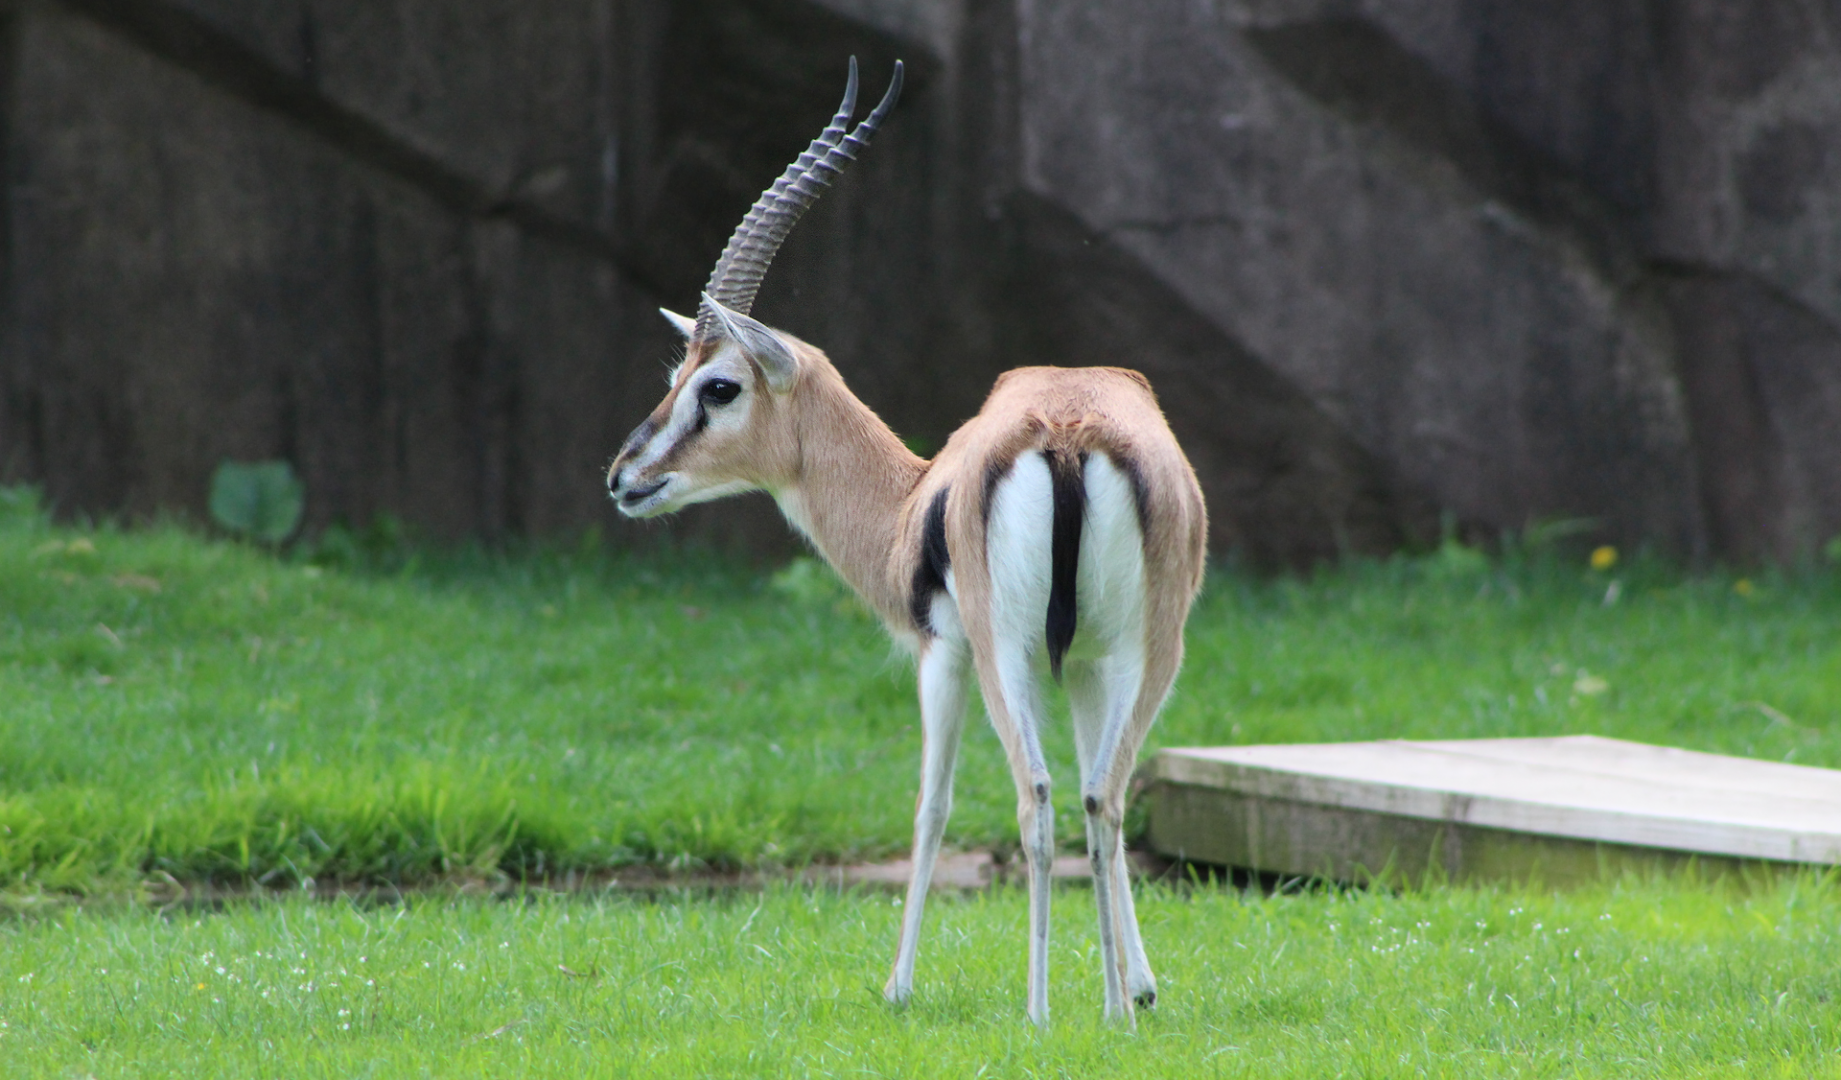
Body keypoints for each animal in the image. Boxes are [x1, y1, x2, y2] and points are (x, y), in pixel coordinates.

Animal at [605, 59, 1206, 1026]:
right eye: (677, 374)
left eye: (718, 386)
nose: (624, 478)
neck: (913, 498)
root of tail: (1068, 430)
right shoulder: (1080, 663)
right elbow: (1098, 797)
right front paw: (1135, 990)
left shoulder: (942, 652)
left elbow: (931, 802)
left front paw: (896, 985)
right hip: (1146, 651)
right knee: (1101, 792)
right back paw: (1107, 1009)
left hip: (1007, 655)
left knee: (1035, 795)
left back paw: (1037, 1011)